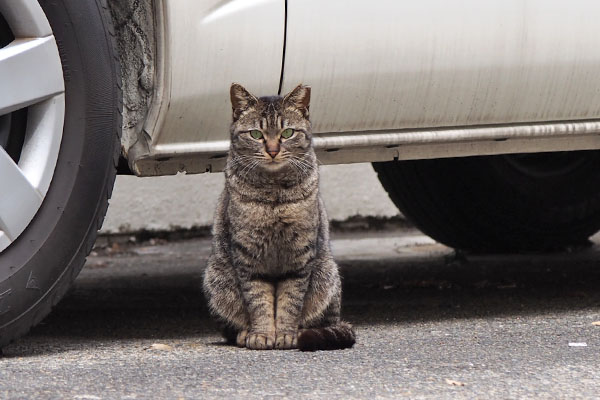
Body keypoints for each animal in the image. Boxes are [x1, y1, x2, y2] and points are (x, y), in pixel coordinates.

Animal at [204, 83, 356, 350]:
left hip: (326, 276)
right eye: (256, 134)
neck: (274, 194)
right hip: (217, 281)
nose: (273, 150)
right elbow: (258, 301)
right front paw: (262, 334)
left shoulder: (299, 257)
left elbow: (290, 301)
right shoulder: (248, 257)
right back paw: (244, 333)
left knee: (328, 322)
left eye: (287, 133)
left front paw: (285, 334)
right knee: (230, 328)